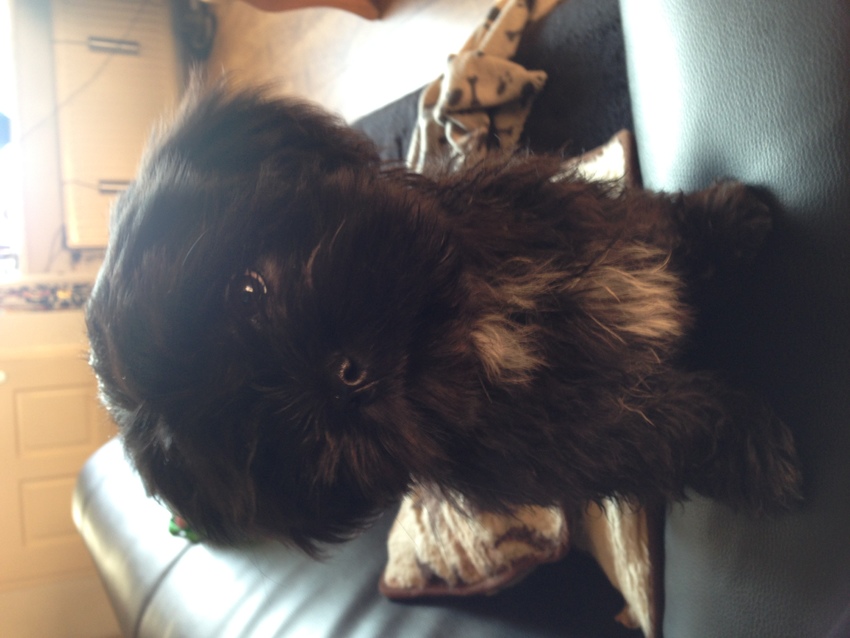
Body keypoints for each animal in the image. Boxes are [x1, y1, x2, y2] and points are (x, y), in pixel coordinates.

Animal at [86, 87, 802, 553]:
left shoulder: (569, 221)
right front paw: (754, 448)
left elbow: (647, 228)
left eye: (247, 290)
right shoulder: (577, 436)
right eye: (264, 436)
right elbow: (662, 425)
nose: (345, 378)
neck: (473, 328)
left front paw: (722, 224)